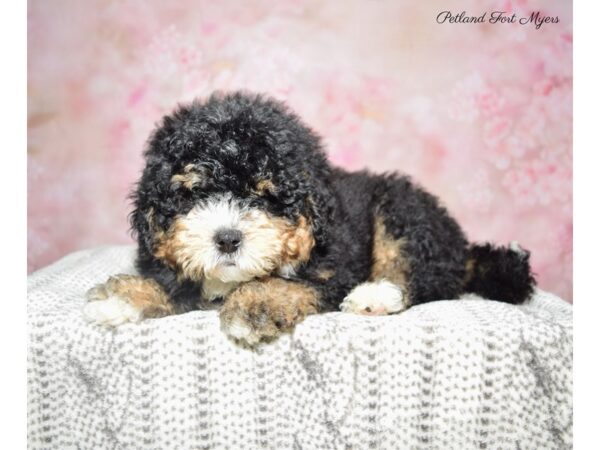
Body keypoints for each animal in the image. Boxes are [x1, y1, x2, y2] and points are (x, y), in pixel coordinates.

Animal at [83, 90, 536, 344]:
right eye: (194, 193)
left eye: (264, 196)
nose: (227, 239)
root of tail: (460, 246)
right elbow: (173, 284)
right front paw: (125, 297)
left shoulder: (332, 270)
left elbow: (288, 285)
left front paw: (255, 306)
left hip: (401, 213)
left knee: (424, 275)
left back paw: (376, 295)